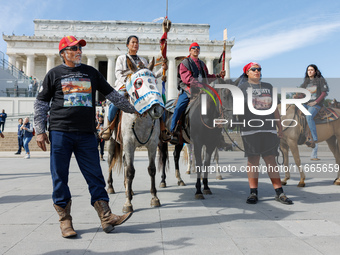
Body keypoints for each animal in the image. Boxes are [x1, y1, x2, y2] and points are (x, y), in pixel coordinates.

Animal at [107, 57, 164, 213]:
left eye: (155, 81)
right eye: (139, 83)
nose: (157, 109)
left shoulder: (152, 144)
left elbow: (151, 169)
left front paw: (154, 198)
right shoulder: (128, 143)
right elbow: (130, 171)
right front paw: (128, 203)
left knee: (125, 162)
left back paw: (129, 189)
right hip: (112, 142)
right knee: (110, 161)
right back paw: (111, 187)